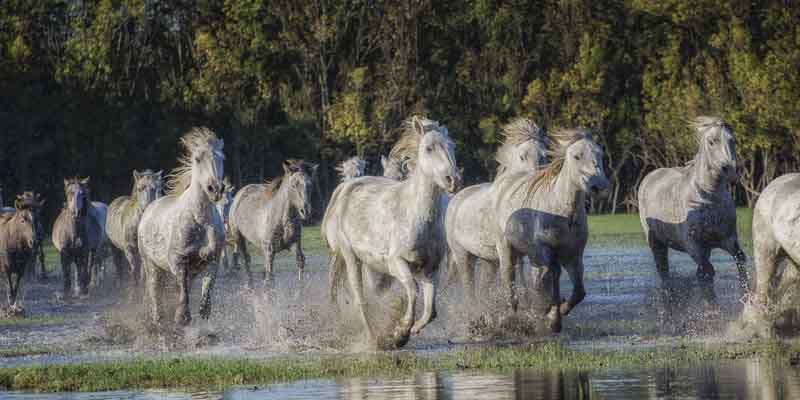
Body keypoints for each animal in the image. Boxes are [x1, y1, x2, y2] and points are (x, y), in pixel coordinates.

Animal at [137, 127, 225, 328]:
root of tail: (149, 208)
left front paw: (203, 313)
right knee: (155, 295)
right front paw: (181, 317)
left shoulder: (212, 261)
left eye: (222, 157)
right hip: (151, 266)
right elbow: (183, 291)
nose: (215, 190)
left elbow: (206, 292)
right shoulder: (177, 261)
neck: (199, 220)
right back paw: (157, 321)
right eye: (197, 159)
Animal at [323, 116, 461, 349]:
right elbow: (413, 291)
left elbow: (431, 310)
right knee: (361, 299)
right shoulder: (396, 262)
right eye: (428, 148)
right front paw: (400, 333)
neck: (416, 216)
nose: (453, 180)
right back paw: (373, 339)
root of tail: (345, 188)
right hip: (351, 258)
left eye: (452, 147)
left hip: (372, 267)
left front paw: (412, 329)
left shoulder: (431, 269)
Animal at [445, 118, 548, 292]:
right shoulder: (505, 250)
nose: (534, 183)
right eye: (522, 156)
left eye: (544, 156)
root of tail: (455, 199)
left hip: (488, 260)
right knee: (468, 286)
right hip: (463, 256)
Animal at [638, 117, 747, 302]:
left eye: (733, 141)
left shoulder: (728, 240)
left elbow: (740, 261)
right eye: (712, 141)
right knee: (664, 273)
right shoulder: (693, 245)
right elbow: (707, 272)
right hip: (657, 244)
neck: (708, 198)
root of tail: (650, 176)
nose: (731, 171)